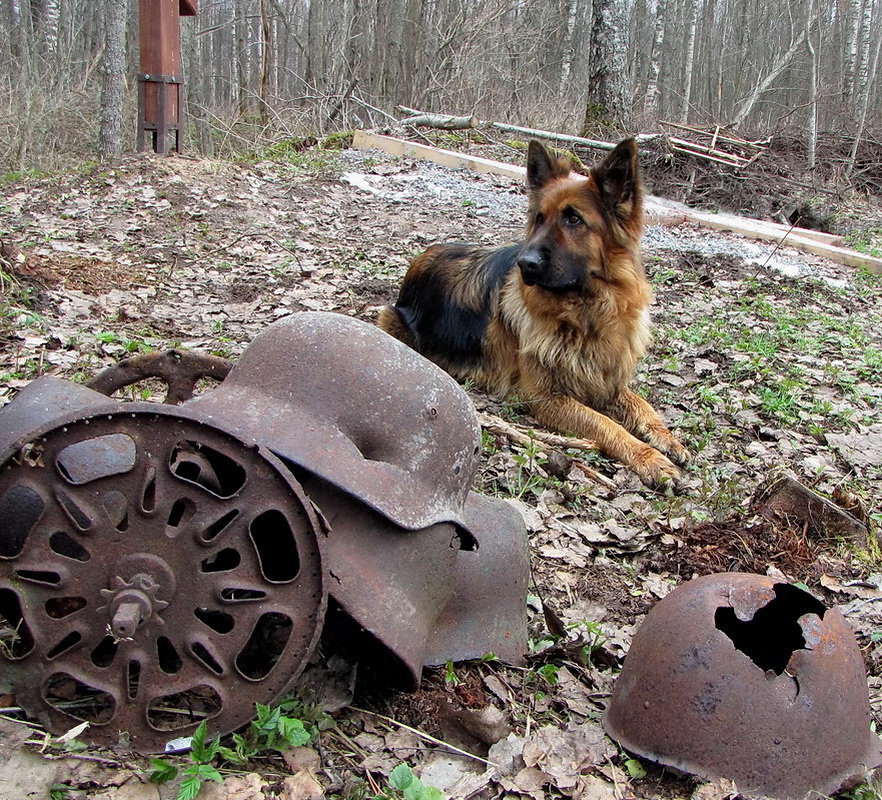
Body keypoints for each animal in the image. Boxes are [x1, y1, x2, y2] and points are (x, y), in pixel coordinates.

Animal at [374, 139, 684, 488]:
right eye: (539, 217)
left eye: (573, 219)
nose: (526, 264)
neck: (585, 313)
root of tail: (425, 254)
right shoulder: (544, 397)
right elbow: (605, 424)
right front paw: (649, 458)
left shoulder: (605, 380)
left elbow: (643, 406)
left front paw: (668, 438)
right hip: (392, 321)